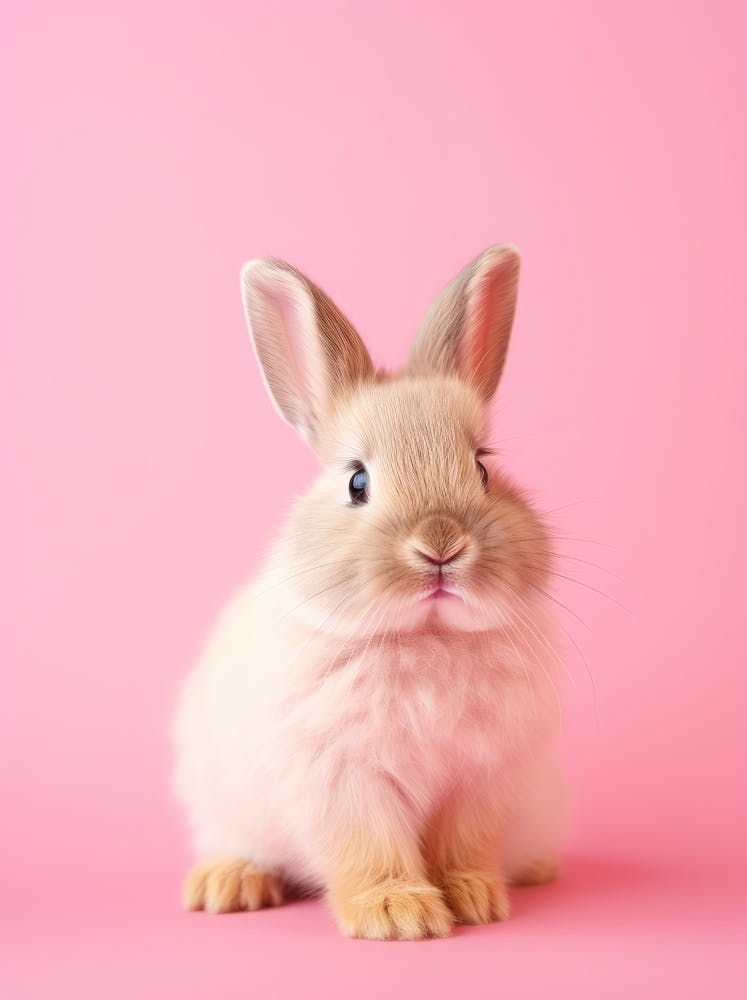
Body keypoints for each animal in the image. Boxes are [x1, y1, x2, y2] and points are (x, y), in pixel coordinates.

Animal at [172, 245, 566, 940]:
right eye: (357, 482)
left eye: (483, 468)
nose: (441, 544)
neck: (425, 637)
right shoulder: (344, 780)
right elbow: (370, 846)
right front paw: (399, 914)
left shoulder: (483, 781)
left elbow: (464, 845)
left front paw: (474, 899)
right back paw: (229, 883)